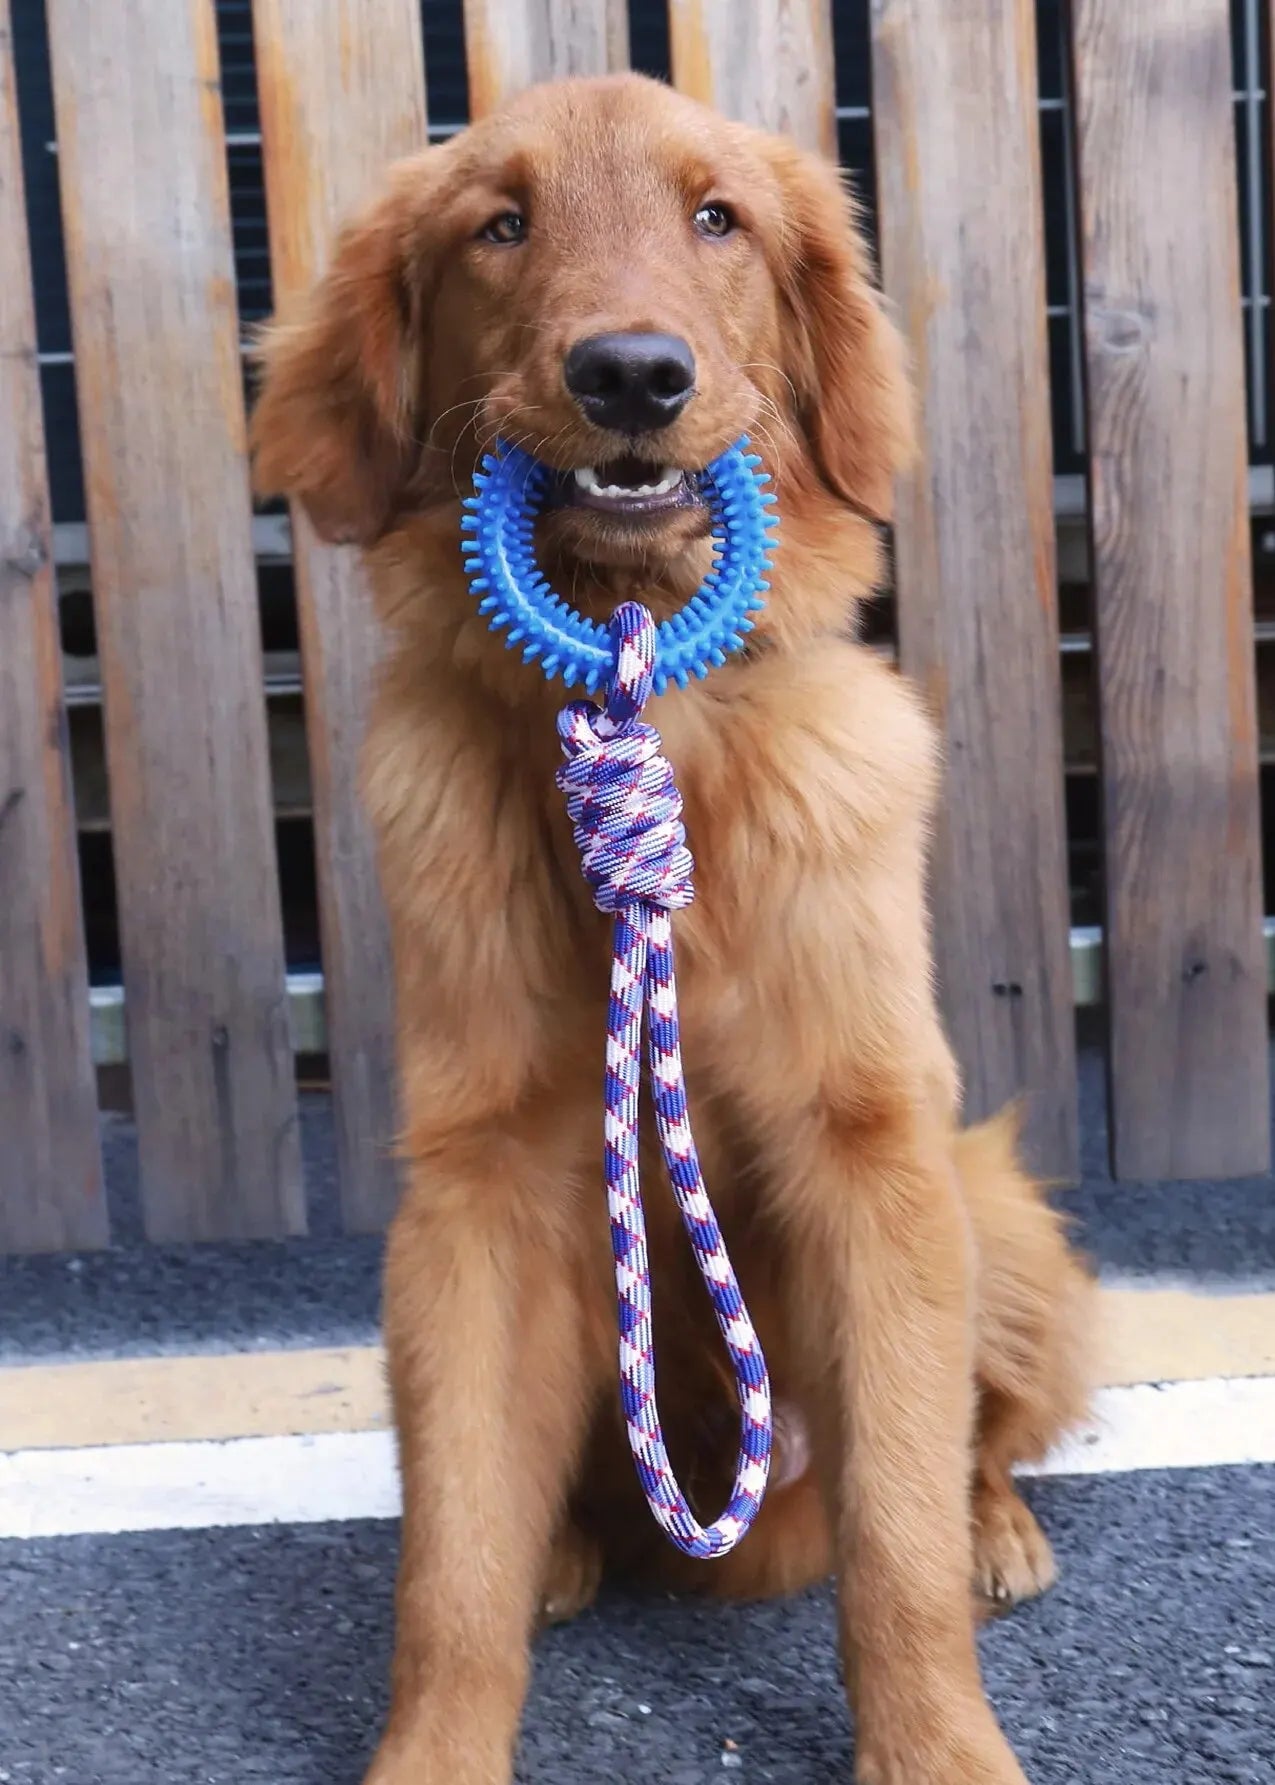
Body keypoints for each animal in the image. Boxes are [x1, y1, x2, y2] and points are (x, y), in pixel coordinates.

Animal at [250, 69, 1092, 1785]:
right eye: (499, 225)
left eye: (718, 218)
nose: (630, 374)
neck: (655, 720)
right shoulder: (480, 1188)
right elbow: (449, 1561)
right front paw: (432, 1748)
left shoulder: (872, 1155)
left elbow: (895, 1537)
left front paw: (938, 1743)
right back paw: (569, 1550)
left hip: (994, 1212)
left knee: (965, 1449)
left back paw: (998, 1529)